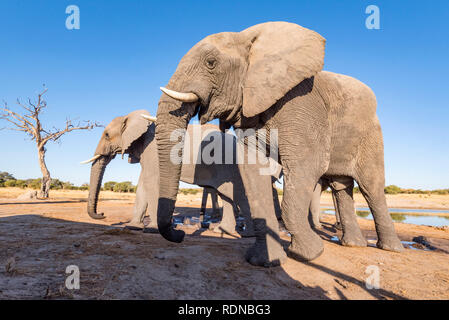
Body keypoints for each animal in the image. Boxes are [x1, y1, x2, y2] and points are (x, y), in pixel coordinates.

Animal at [82, 110, 282, 238]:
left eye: (107, 135)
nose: (102, 214)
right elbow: (143, 185)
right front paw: (133, 227)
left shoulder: (154, 149)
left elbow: (152, 182)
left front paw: (152, 230)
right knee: (227, 196)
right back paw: (221, 231)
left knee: (237, 196)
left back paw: (247, 235)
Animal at [151, 19, 402, 264]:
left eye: (211, 63)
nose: (179, 234)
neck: (248, 39)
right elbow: (254, 170)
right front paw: (266, 260)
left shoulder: (300, 103)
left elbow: (306, 165)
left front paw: (309, 254)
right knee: (341, 186)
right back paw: (353, 244)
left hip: (371, 134)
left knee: (371, 187)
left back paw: (391, 248)